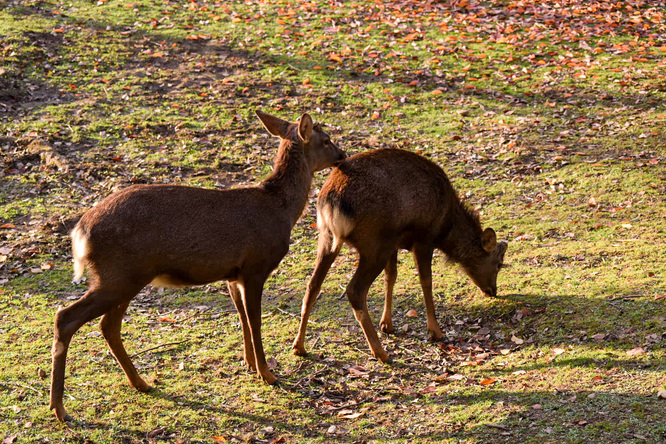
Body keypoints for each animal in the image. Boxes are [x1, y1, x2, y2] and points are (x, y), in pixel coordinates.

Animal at [49, 109, 344, 422]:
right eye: (326, 139)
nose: (342, 155)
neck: (281, 210)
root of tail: (80, 232)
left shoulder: (233, 274)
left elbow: (242, 318)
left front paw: (250, 364)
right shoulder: (256, 266)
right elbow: (255, 320)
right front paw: (268, 374)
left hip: (124, 277)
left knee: (108, 326)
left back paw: (141, 383)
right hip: (118, 275)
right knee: (67, 317)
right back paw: (60, 408)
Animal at [294, 147, 506, 362]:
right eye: (498, 263)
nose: (492, 290)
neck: (446, 229)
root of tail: (331, 203)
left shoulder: (394, 244)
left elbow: (391, 277)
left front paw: (387, 324)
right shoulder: (423, 239)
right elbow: (426, 281)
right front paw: (435, 331)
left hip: (327, 237)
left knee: (313, 284)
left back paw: (299, 347)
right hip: (373, 244)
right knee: (355, 290)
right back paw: (380, 352)